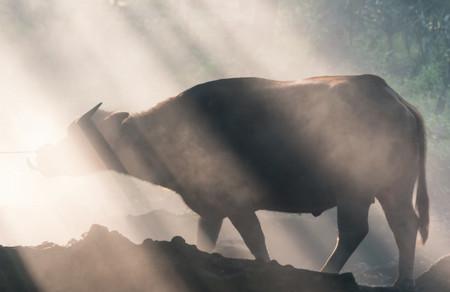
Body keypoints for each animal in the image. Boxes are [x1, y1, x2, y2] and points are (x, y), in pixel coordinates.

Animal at [34, 74, 428, 288]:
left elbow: (255, 240)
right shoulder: (211, 208)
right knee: (401, 225)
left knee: (357, 231)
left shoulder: (235, 203)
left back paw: (329, 274)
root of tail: (401, 104)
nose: (38, 157)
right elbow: (206, 241)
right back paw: (399, 280)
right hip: (391, 188)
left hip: (357, 192)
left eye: (78, 138)